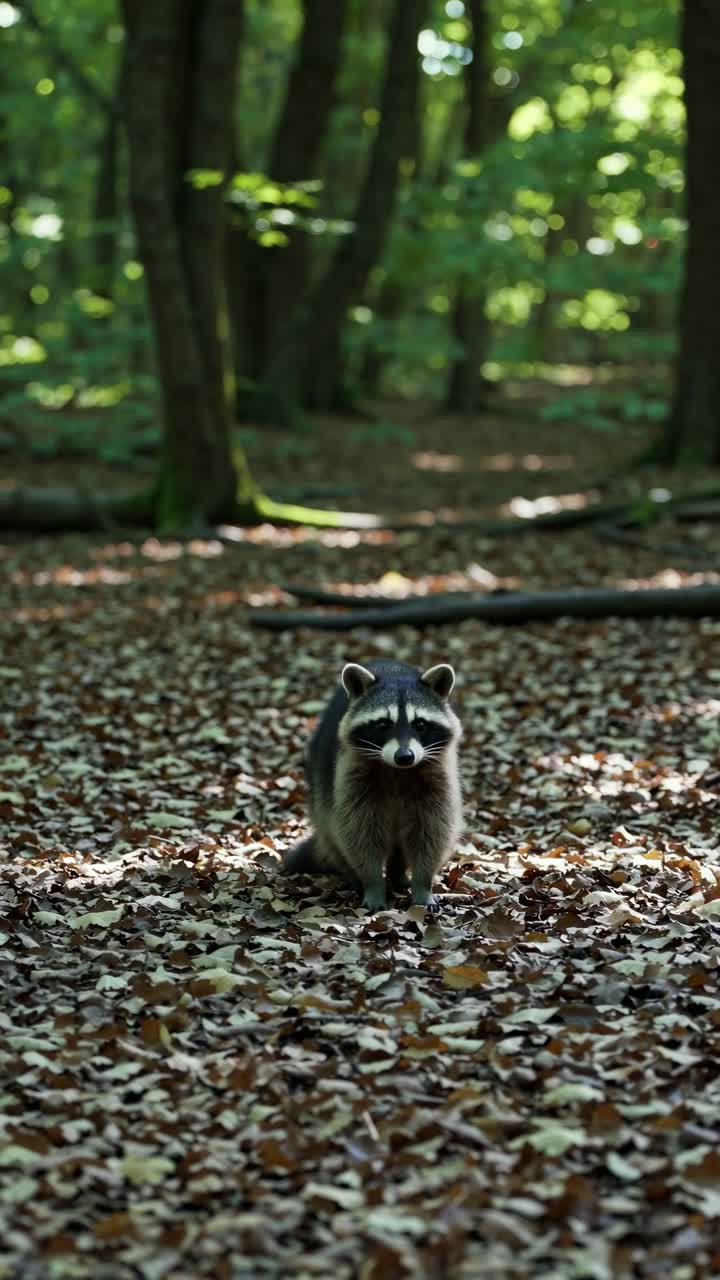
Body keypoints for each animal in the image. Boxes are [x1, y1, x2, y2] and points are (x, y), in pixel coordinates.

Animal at [283, 659, 463, 910]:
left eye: (420, 724)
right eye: (382, 725)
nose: (404, 756)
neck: (397, 771)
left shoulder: (437, 779)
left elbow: (431, 830)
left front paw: (422, 884)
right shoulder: (351, 776)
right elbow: (358, 832)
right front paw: (373, 884)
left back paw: (398, 876)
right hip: (321, 778)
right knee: (333, 831)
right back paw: (354, 878)